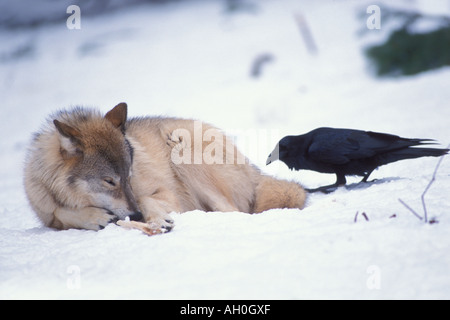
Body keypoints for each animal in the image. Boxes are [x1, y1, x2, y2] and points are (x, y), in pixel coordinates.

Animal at [23, 104, 306, 234]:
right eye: (110, 181)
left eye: (129, 176)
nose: (136, 216)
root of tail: (253, 169)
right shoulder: (47, 212)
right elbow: (61, 212)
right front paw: (94, 217)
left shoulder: (163, 193)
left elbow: (147, 199)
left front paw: (158, 219)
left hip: (181, 147)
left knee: (235, 212)